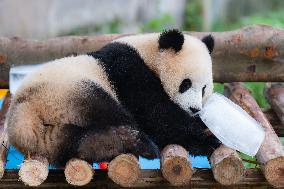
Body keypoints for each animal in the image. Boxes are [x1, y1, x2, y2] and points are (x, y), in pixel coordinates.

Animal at [6, 29, 220, 167]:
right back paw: (139, 143)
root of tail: (23, 112)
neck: (149, 53)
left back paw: (106, 144)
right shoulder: (127, 70)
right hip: (69, 89)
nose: (194, 109)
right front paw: (207, 138)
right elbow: (156, 113)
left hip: (50, 136)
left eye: (204, 89)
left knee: (73, 141)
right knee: (107, 109)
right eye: (186, 84)